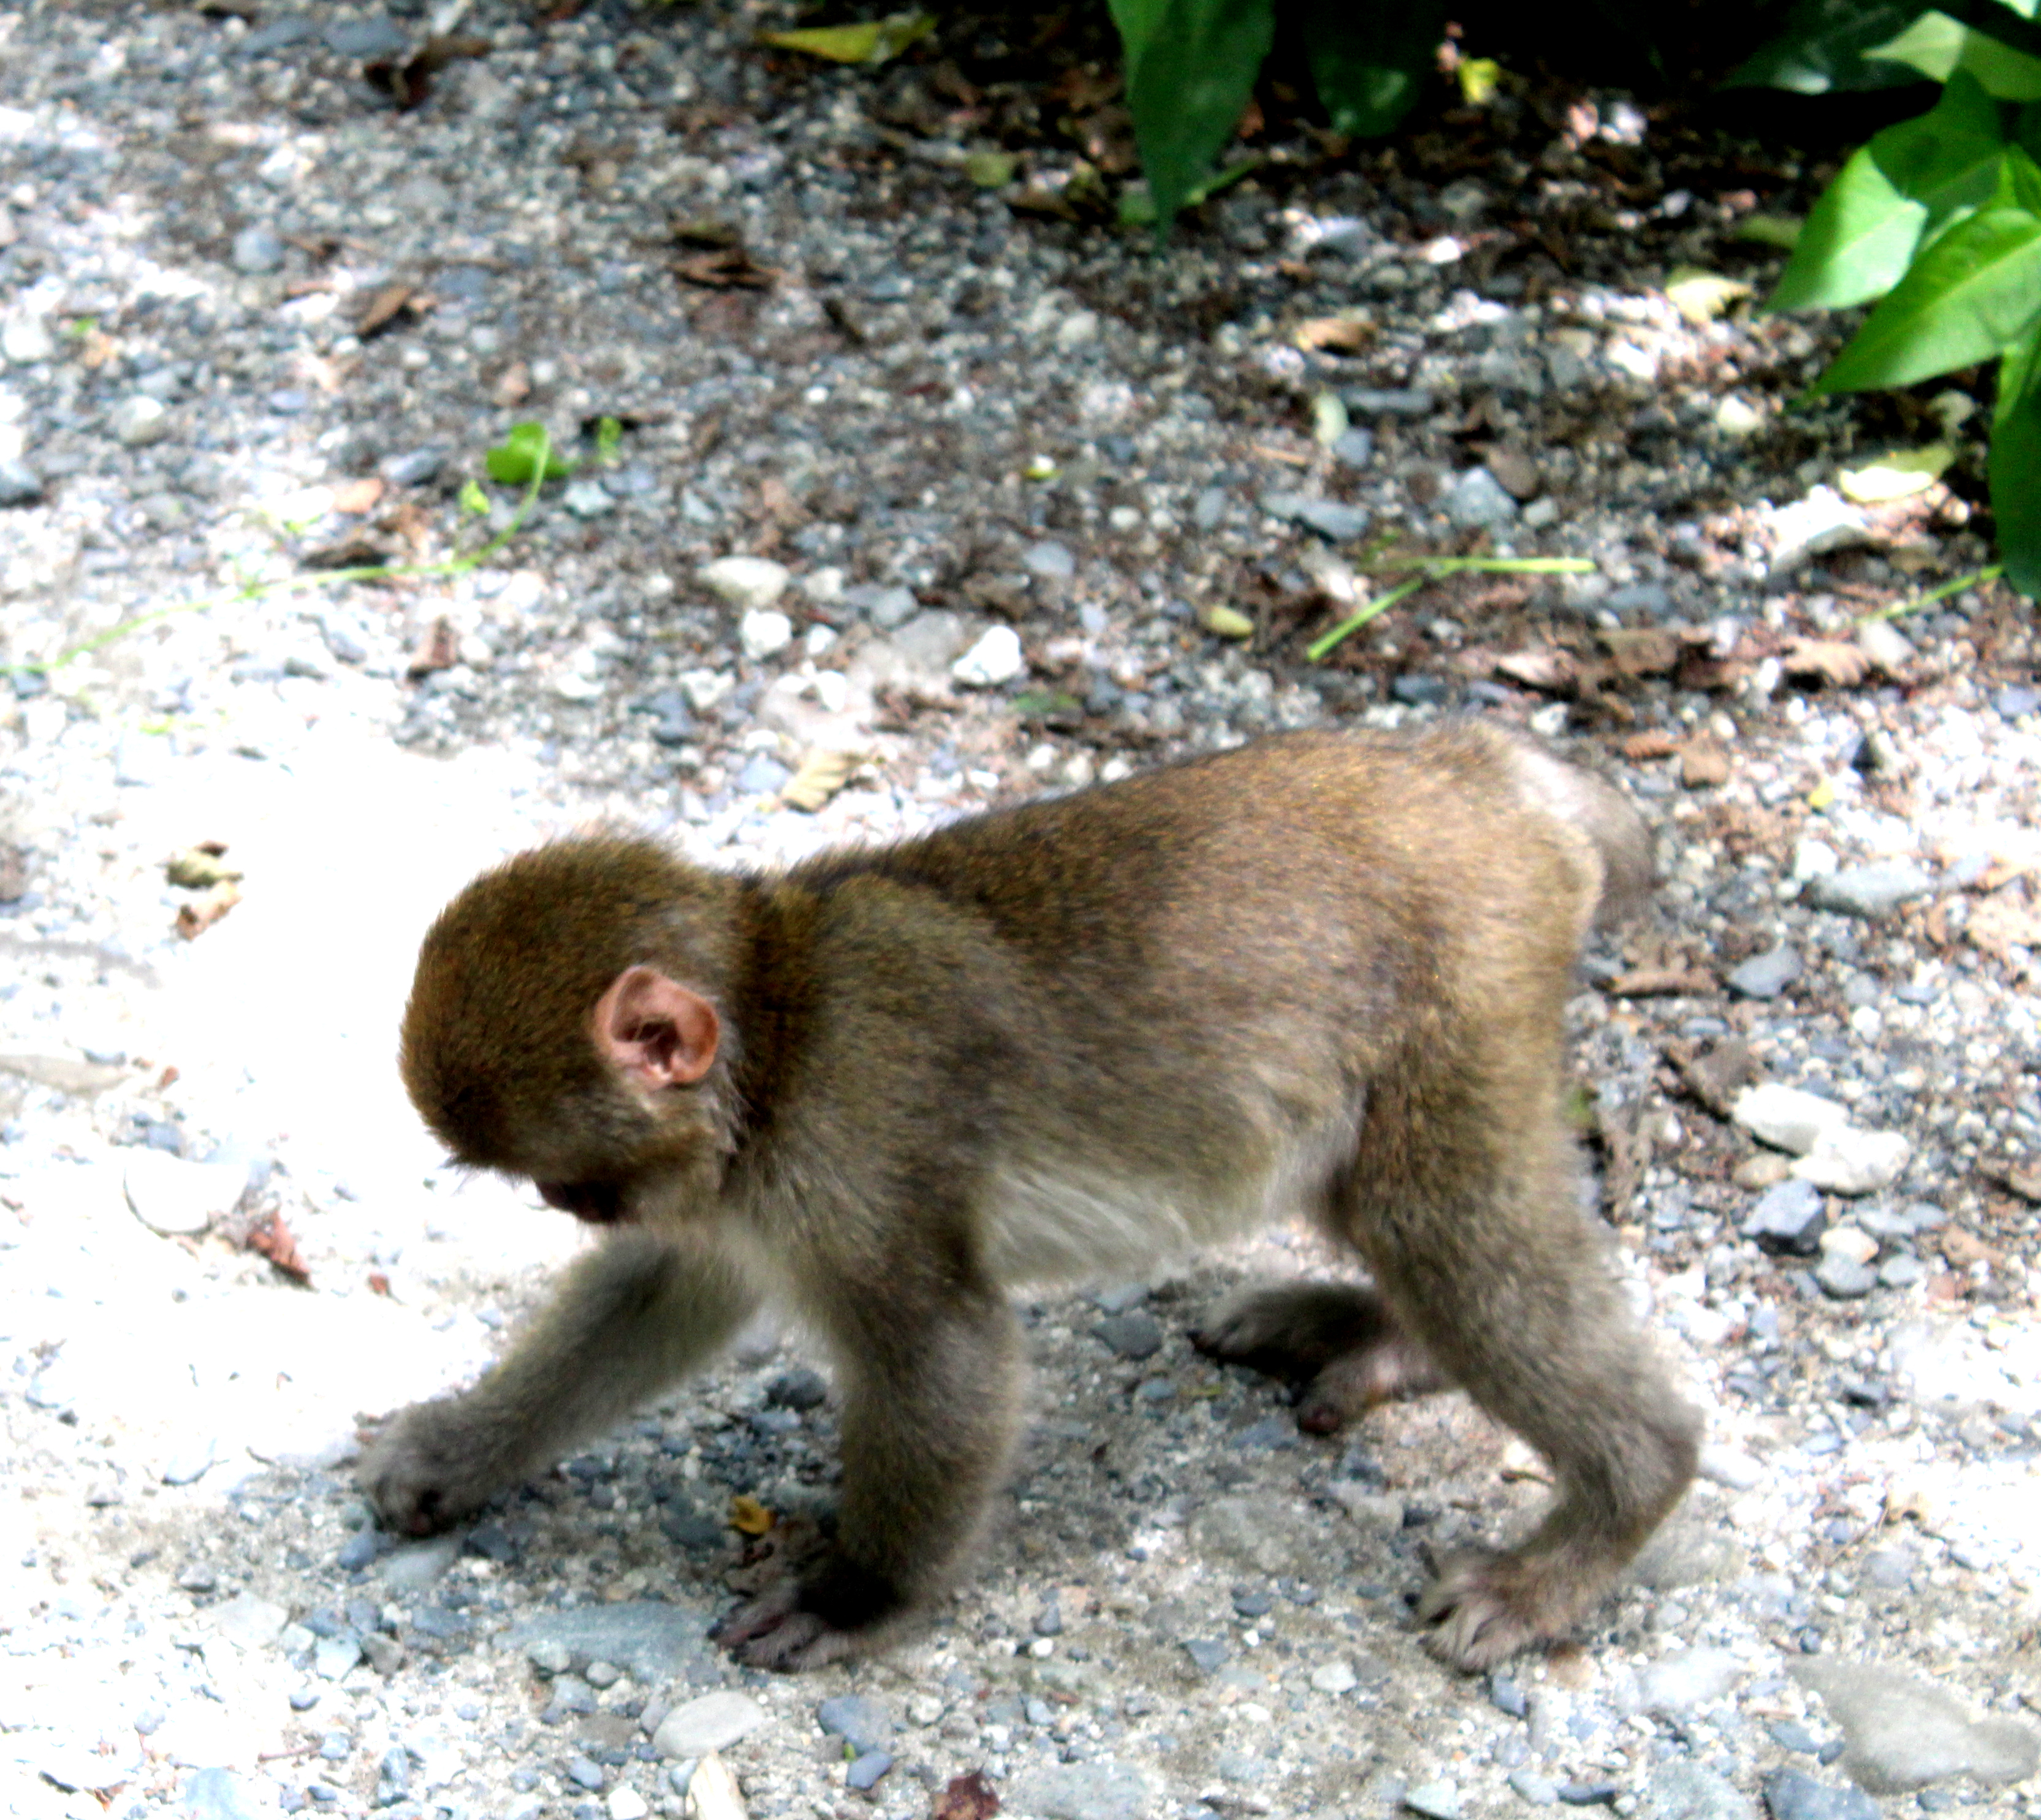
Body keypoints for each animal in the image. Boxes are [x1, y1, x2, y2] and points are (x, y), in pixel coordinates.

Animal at [367, 722, 1706, 1681]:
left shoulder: (857, 1160)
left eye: (568, 1181)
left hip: (1471, 990)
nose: (571, 1206)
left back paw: (1605, 1515)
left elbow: (946, 1362)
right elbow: (664, 1293)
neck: (785, 1032)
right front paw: (465, 1447)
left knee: (1442, 1224)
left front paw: (857, 1594)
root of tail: (1486, 770)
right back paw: (1386, 1342)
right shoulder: (738, 1190)